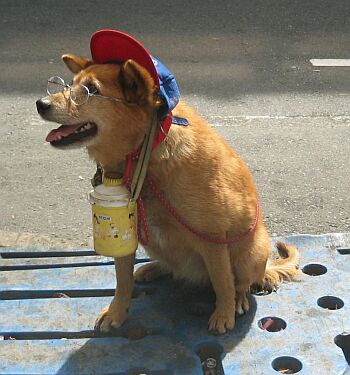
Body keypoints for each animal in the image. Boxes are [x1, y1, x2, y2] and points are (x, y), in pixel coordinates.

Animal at [34, 44, 298, 334]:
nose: (41, 104)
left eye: (90, 90)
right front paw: (116, 312)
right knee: (172, 267)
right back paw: (153, 269)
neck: (144, 154)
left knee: (239, 282)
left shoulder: (212, 238)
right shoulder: (125, 233)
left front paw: (224, 312)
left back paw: (239, 299)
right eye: (68, 85)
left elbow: (223, 282)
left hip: (251, 251)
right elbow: (122, 282)